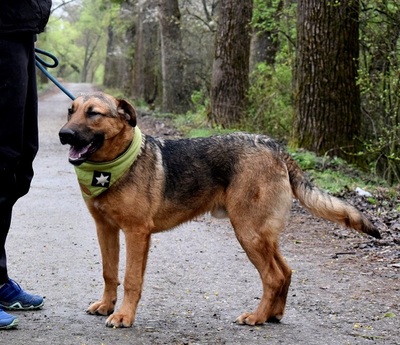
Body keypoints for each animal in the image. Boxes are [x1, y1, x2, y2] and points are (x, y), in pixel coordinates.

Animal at [57, 92, 380, 328]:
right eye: (71, 111)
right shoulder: (106, 229)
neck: (117, 164)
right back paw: (273, 315)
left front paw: (124, 315)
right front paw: (106, 305)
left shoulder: (137, 233)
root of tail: (273, 146)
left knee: (273, 277)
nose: (64, 134)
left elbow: (132, 279)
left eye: (94, 113)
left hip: (248, 232)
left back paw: (257, 317)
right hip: (262, 234)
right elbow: (109, 272)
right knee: (285, 272)